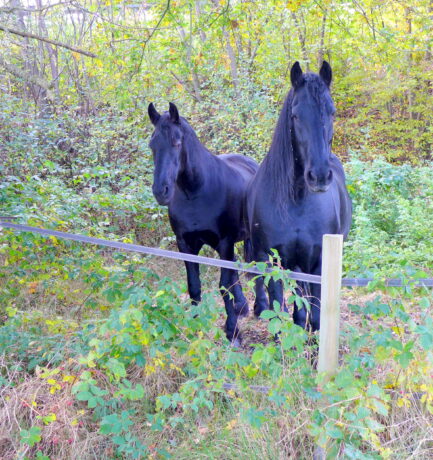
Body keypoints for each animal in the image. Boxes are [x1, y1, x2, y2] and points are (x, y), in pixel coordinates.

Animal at [147, 101, 258, 344]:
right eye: (152, 145)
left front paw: (232, 332)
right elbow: (194, 286)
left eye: (177, 142)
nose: (161, 191)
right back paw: (241, 306)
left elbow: (224, 285)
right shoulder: (186, 245)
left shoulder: (224, 242)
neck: (196, 192)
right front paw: (195, 325)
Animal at [243, 61, 352, 330]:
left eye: (332, 112)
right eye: (295, 115)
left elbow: (317, 315)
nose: (320, 176)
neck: (297, 200)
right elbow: (281, 311)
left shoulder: (319, 262)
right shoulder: (271, 260)